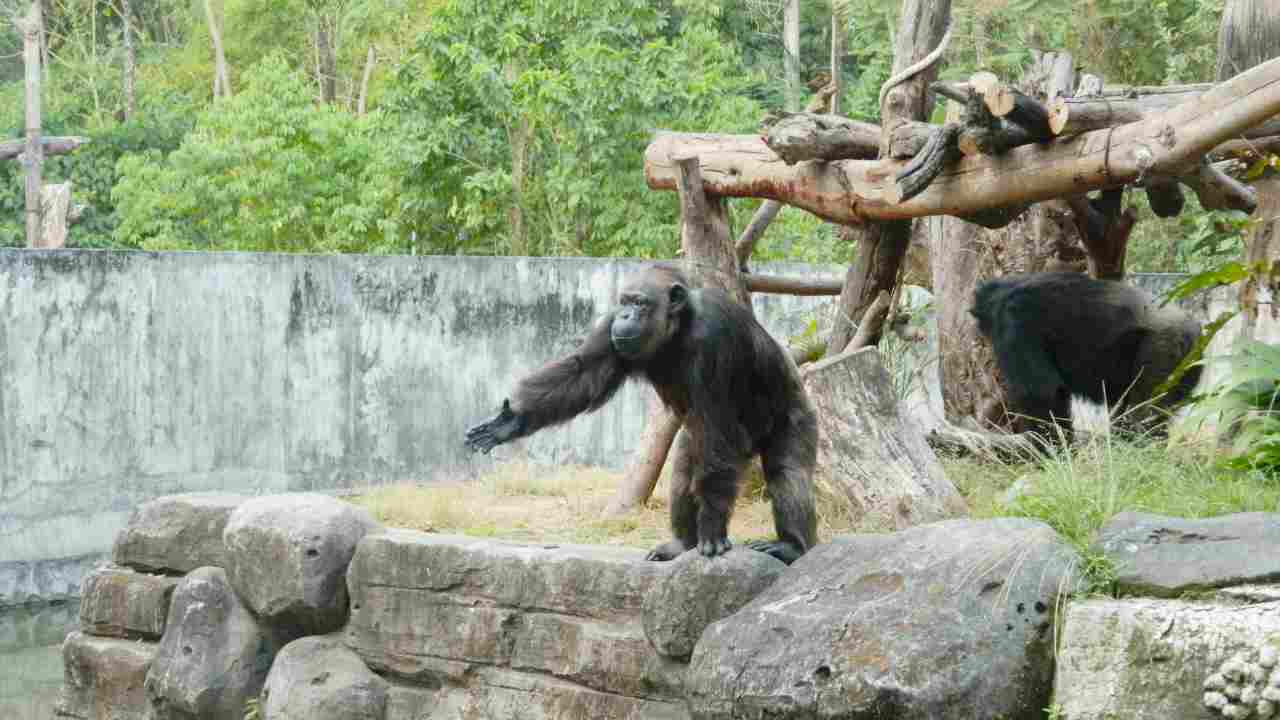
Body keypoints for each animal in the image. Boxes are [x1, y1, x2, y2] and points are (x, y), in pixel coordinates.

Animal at [463, 262, 819, 561]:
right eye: (624, 301)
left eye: (640, 303)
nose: (625, 316)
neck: (678, 328)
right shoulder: (608, 329)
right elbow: (584, 374)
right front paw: (509, 421)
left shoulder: (715, 337)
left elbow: (718, 425)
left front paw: (713, 529)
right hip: (694, 440)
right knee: (683, 471)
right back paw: (682, 544)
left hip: (796, 416)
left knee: (786, 473)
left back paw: (790, 545)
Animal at [972, 271, 1203, 440]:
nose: (981, 334)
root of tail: (1196, 330)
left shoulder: (1014, 323)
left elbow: (1040, 394)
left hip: (1164, 350)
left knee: (1142, 413)